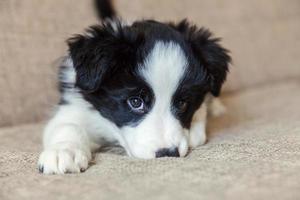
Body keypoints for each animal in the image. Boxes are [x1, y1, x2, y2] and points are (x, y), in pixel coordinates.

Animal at [38, 0, 231, 173]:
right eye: (136, 101)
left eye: (183, 103)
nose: (168, 153)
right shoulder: (74, 106)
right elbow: (67, 126)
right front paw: (63, 152)